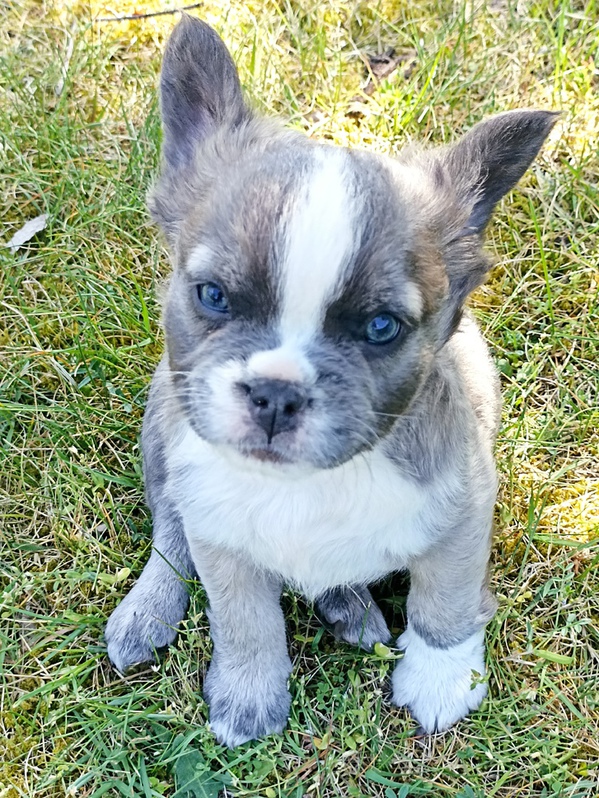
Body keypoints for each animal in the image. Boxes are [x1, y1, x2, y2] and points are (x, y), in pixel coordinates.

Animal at [104, 14, 556, 752]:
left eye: (380, 328)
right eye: (211, 296)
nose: (276, 393)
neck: (307, 486)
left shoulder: (465, 511)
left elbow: (446, 597)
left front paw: (440, 677)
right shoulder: (218, 531)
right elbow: (244, 618)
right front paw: (249, 691)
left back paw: (351, 607)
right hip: (164, 428)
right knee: (169, 531)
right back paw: (149, 609)